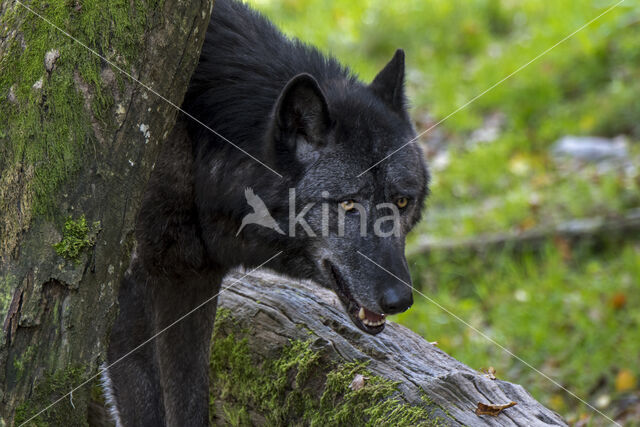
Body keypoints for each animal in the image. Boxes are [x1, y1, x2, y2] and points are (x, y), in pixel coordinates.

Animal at [105, 0, 428, 426]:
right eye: (347, 203)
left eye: (402, 202)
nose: (399, 300)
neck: (200, 139)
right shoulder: (131, 293)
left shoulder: (191, 280)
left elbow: (190, 405)